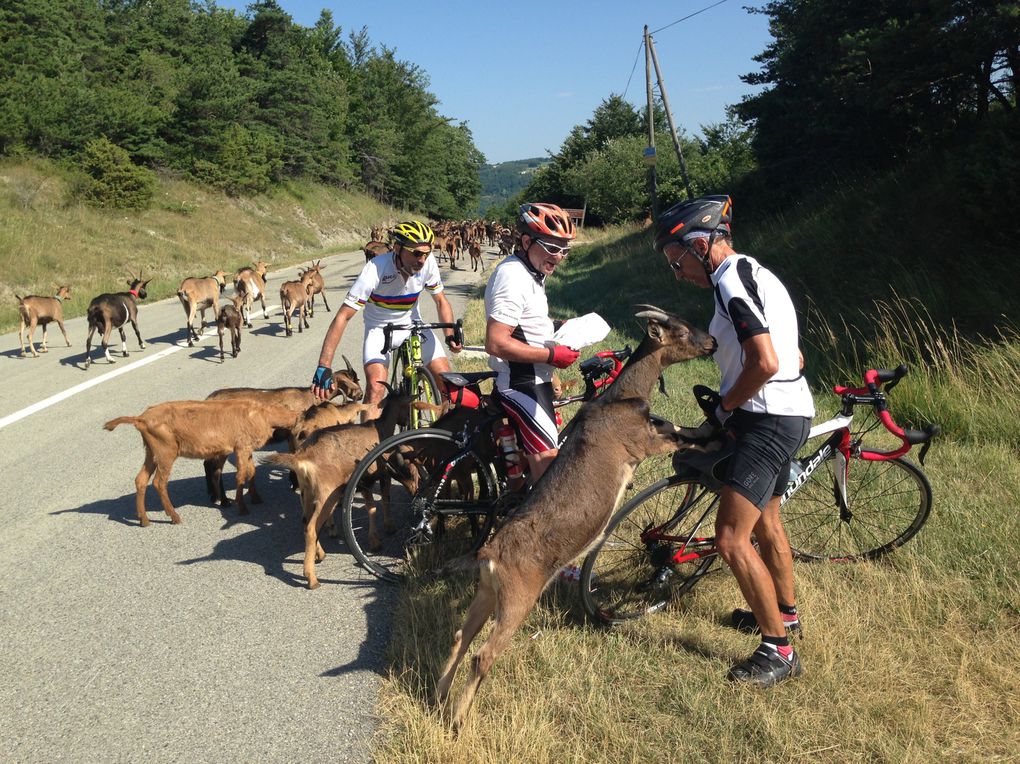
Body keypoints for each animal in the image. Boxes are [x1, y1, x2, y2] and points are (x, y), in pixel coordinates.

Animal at [104, 399, 301, 526]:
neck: (264, 414)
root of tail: (140, 419)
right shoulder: (241, 446)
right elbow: (241, 476)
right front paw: (242, 507)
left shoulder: (246, 449)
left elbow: (251, 471)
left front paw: (255, 498)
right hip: (166, 450)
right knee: (159, 482)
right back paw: (174, 517)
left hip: (152, 452)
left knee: (141, 480)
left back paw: (144, 520)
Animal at [271, 387, 418, 591]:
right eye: (406, 406)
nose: (405, 422)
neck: (379, 428)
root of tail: (302, 457)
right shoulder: (381, 475)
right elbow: (383, 500)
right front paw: (387, 529)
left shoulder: (364, 481)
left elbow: (370, 507)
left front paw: (374, 539)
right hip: (326, 495)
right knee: (311, 527)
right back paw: (312, 579)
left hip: (307, 493)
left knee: (305, 522)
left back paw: (320, 554)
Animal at [434, 301, 714, 726]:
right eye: (680, 331)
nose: (712, 341)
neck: (620, 399)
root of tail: (491, 555)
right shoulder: (641, 442)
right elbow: (679, 436)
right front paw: (712, 436)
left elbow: (679, 429)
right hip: (518, 598)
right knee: (483, 654)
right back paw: (458, 720)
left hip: (487, 593)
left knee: (459, 638)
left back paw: (438, 697)